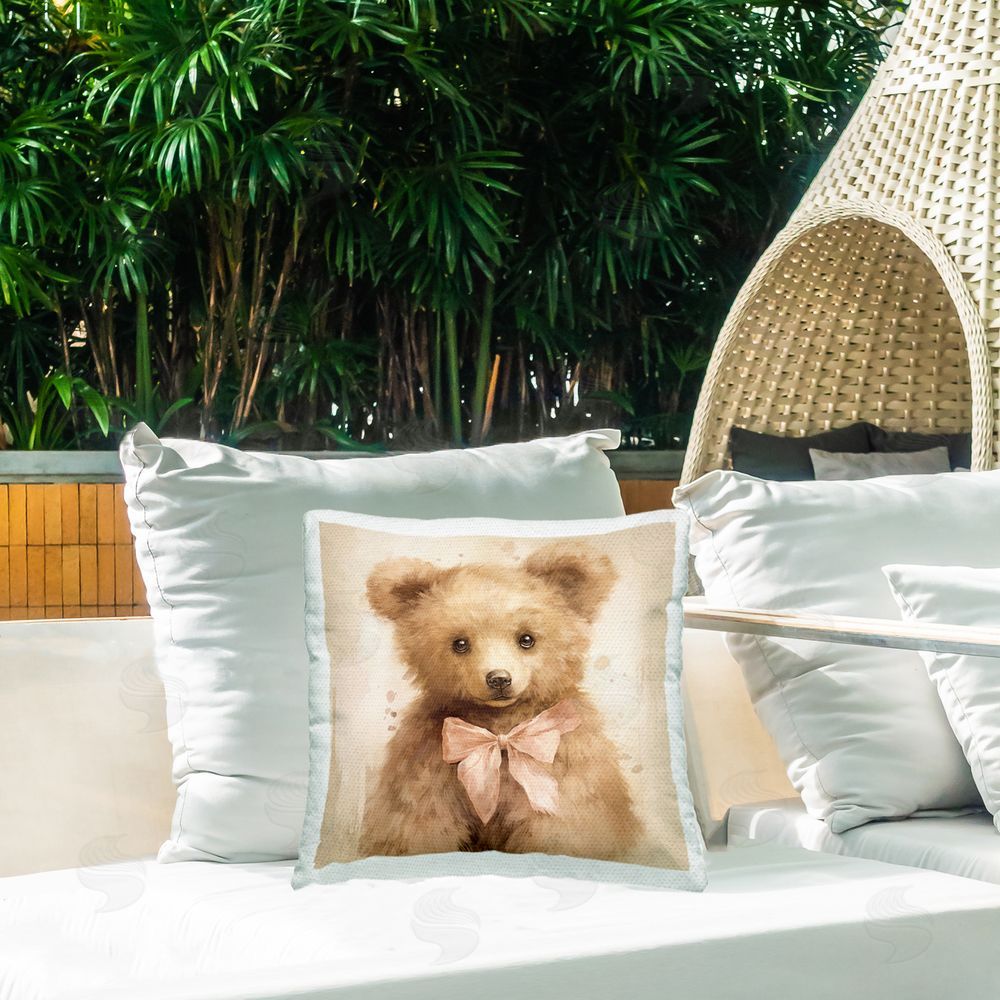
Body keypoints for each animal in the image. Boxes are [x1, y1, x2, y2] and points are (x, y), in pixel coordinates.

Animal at [357, 542, 643, 862]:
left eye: (526, 639)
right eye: (460, 643)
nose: (498, 679)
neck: (499, 730)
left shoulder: (566, 767)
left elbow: (564, 825)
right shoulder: (428, 765)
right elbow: (417, 823)